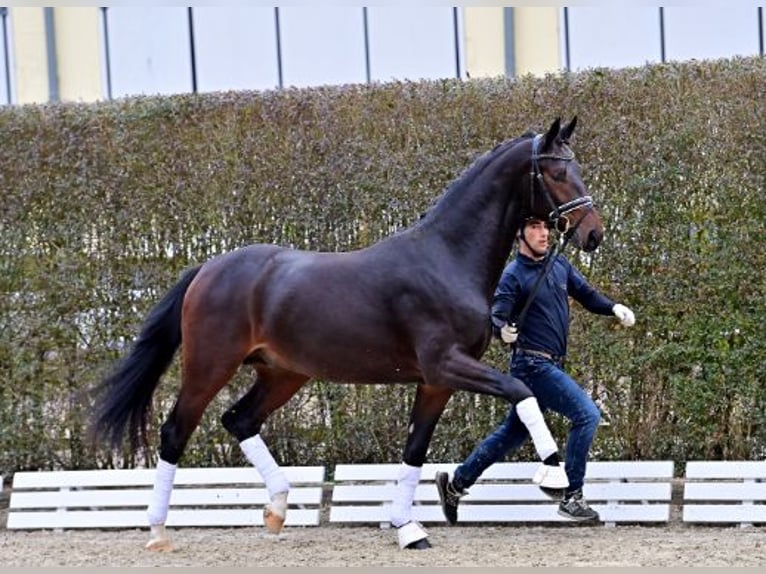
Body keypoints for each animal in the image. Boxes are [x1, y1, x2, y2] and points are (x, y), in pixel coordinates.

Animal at [91, 118, 608, 552]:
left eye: (579, 167)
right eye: (557, 172)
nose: (594, 234)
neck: (445, 257)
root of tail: (208, 268)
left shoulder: (435, 383)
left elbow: (415, 450)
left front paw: (408, 529)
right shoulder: (447, 364)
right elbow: (521, 390)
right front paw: (554, 477)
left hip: (283, 374)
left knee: (239, 420)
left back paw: (277, 508)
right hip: (209, 366)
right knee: (176, 431)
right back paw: (158, 531)